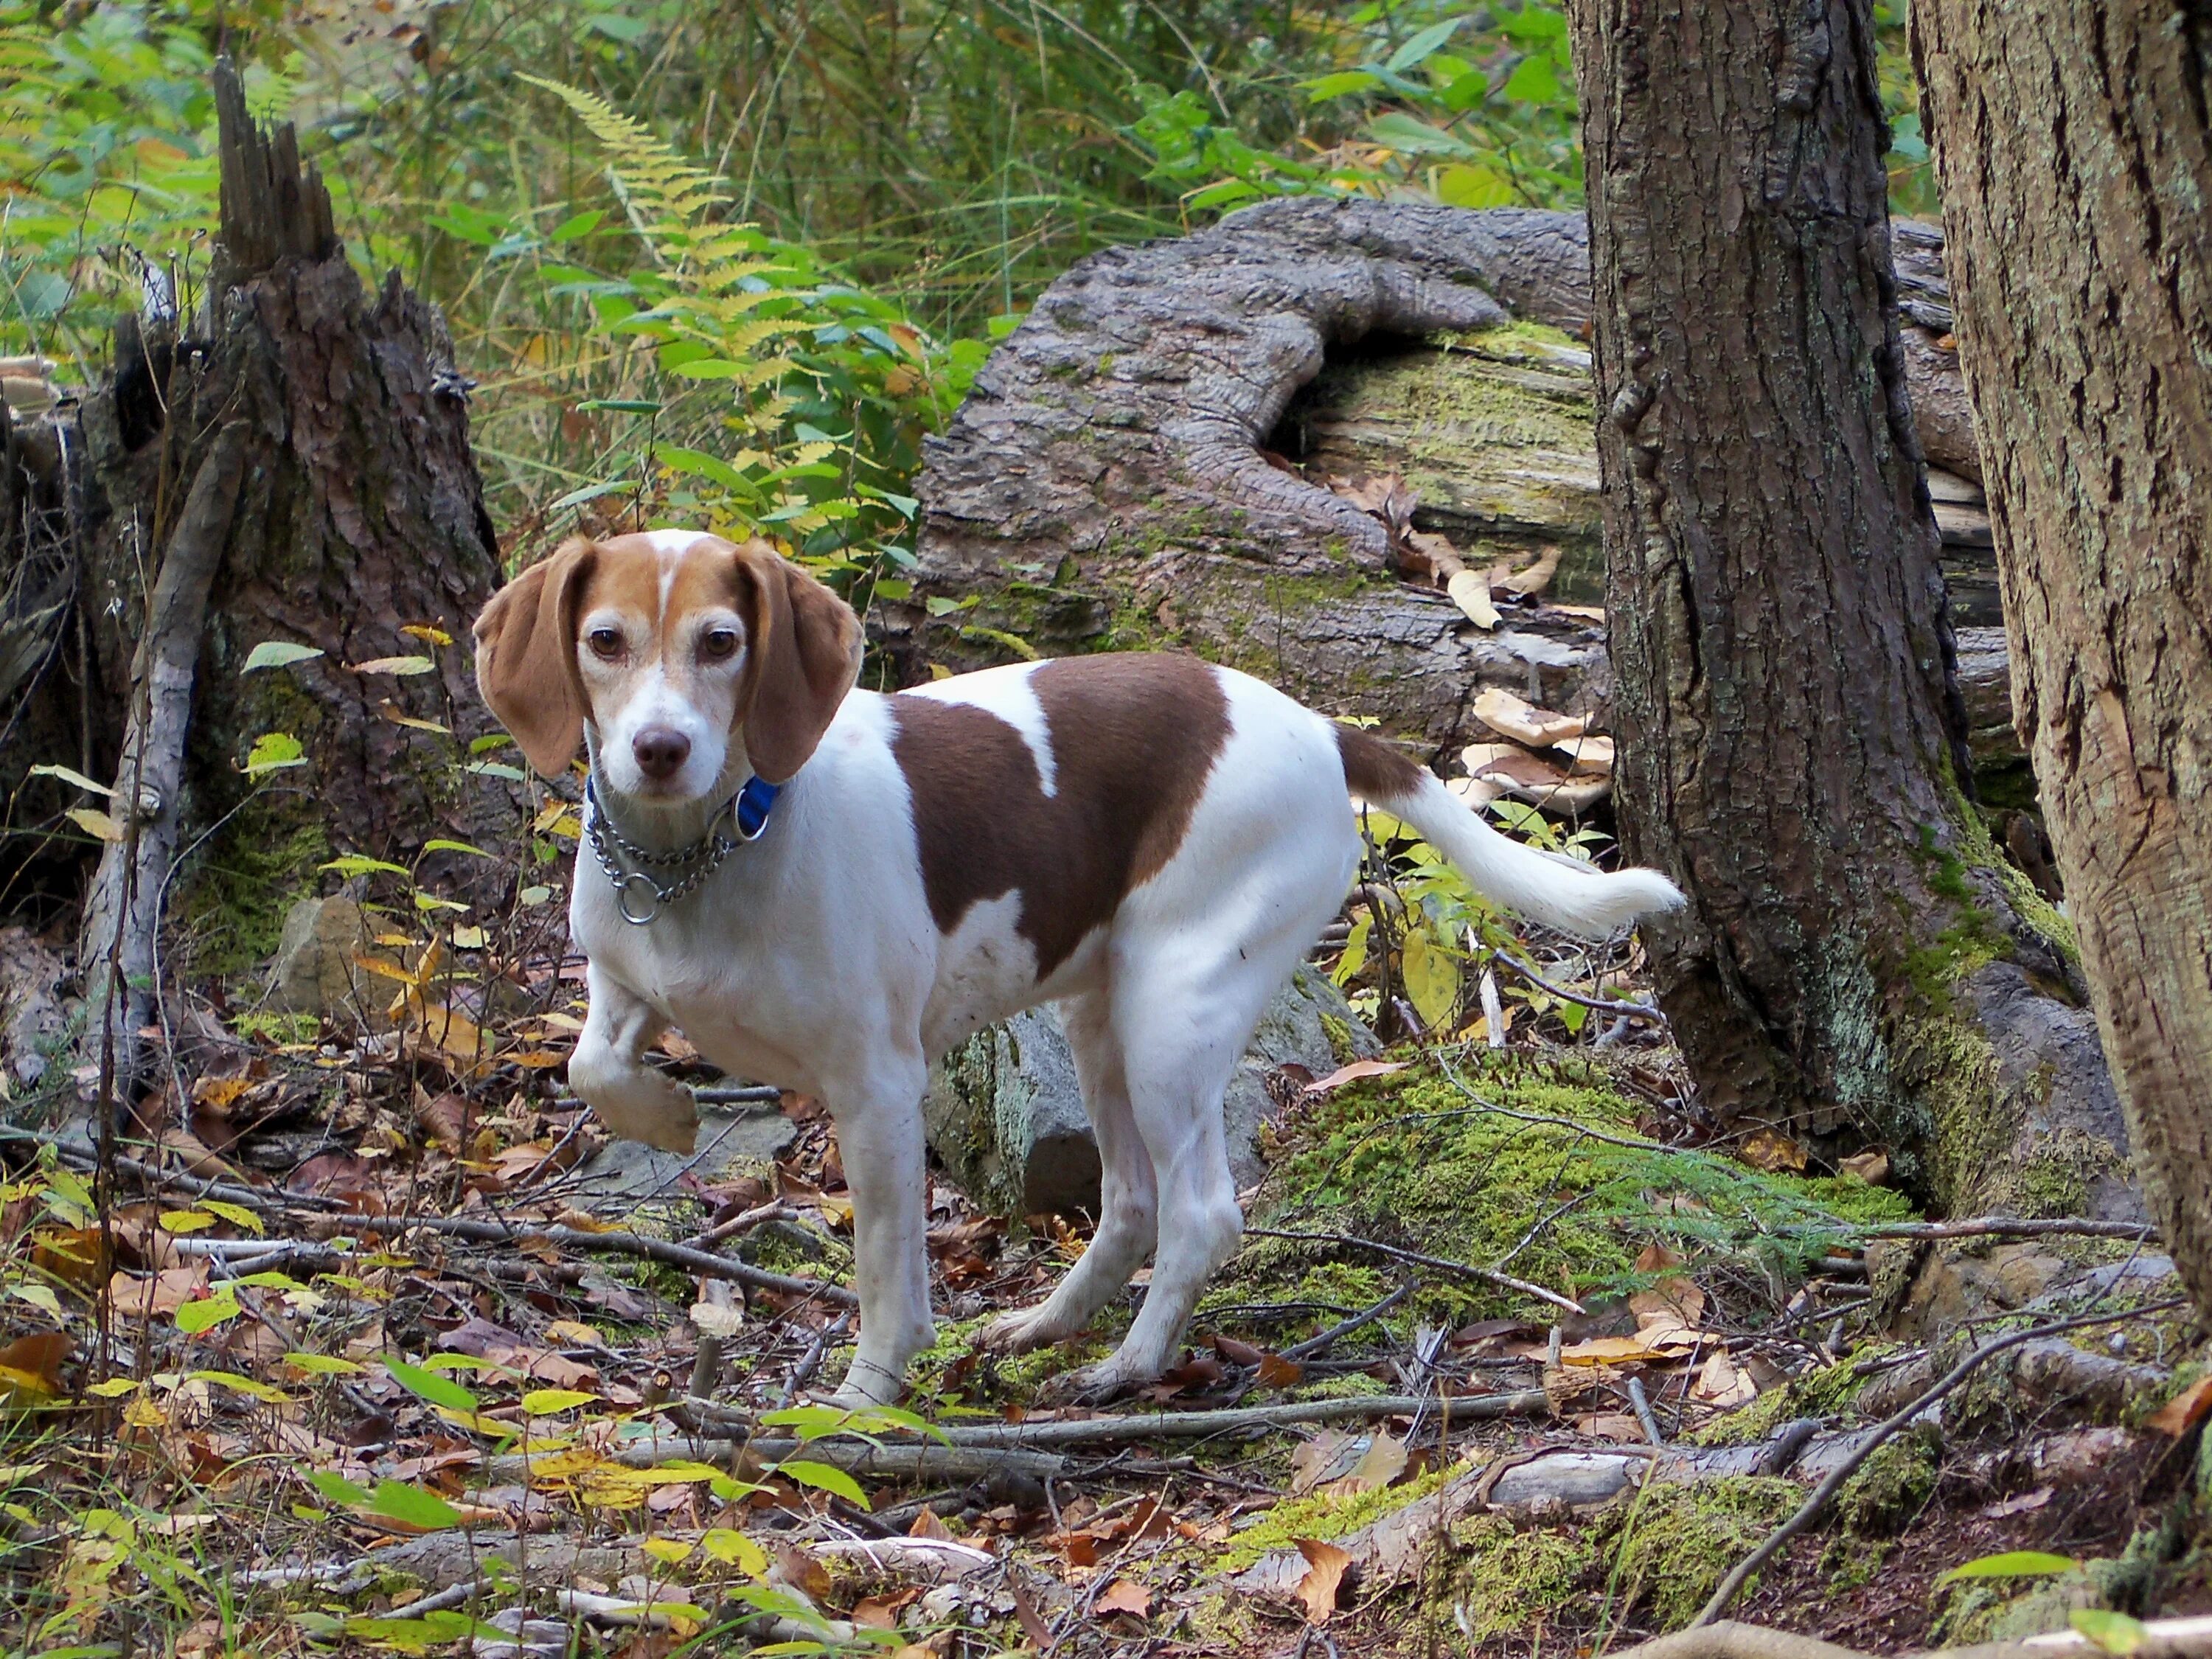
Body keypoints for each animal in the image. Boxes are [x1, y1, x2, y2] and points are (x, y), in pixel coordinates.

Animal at [467, 529, 1672, 1407]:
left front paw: (864, 1398)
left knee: (1201, 1214)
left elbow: (885, 1274)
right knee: (1132, 1203)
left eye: (721, 641)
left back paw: (1129, 1366)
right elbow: (589, 1067)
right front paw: (667, 1116)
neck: (707, 854)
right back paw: (1052, 1324)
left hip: (1171, 1016)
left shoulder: (878, 1089)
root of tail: (1320, 727)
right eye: (606, 640)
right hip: (1103, 1022)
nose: (659, 749)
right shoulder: (622, 983)